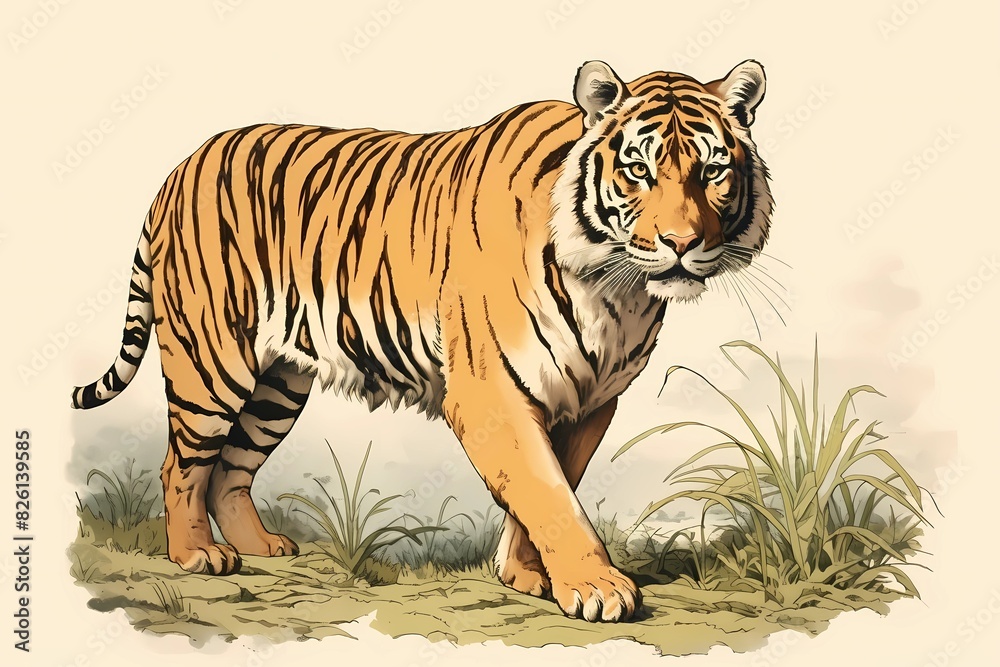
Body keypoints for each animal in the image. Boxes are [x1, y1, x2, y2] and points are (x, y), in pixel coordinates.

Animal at [72, 59, 773, 622]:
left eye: (713, 170)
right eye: (637, 170)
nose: (681, 243)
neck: (616, 290)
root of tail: (180, 166)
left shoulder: (590, 400)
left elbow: (555, 483)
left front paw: (526, 576)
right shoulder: (493, 393)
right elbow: (546, 489)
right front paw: (596, 588)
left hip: (279, 382)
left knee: (231, 469)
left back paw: (260, 547)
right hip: (211, 362)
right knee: (182, 464)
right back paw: (197, 556)